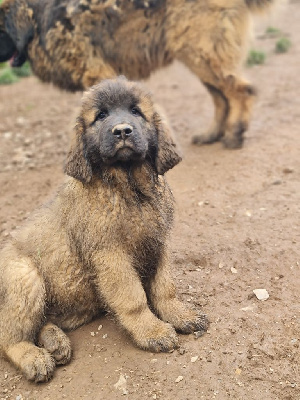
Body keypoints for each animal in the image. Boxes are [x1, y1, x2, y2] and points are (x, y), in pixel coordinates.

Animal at [0, 0, 276, 149]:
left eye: (0, 28)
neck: (37, 19)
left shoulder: (97, 73)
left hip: (200, 54)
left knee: (240, 91)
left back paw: (235, 134)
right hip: (198, 56)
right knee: (221, 97)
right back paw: (212, 135)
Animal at [0, 77, 209, 382]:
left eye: (136, 111)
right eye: (100, 116)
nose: (122, 130)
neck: (130, 189)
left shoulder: (159, 242)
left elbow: (165, 287)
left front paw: (181, 315)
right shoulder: (110, 254)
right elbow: (134, 298)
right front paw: (153, 331)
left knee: (40, 323)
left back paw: (55, 342)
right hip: (24, 277)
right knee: (8, 337)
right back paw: (34, 358)